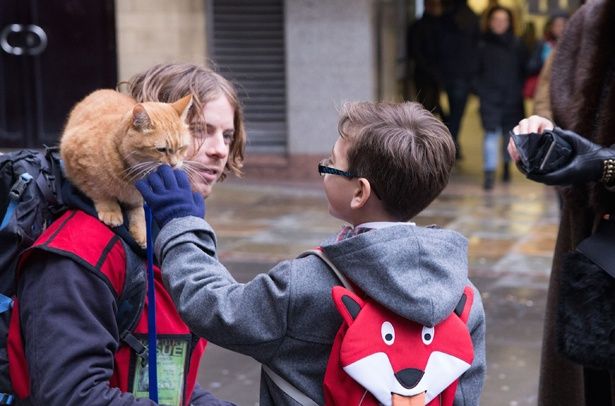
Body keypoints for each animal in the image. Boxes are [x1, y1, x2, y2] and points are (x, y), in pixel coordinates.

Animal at [60, 89, 191, 247]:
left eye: (182, 148)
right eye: (161, 149)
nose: (174, 164)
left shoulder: (138, 197)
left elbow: (138, 209)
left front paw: (141, 230)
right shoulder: (78, 163)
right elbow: (99, 191)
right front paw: (111, 210)